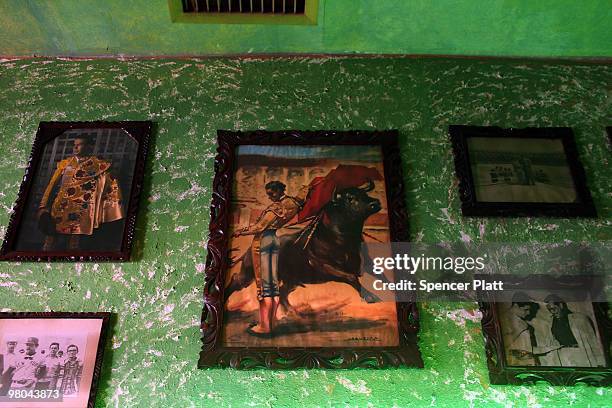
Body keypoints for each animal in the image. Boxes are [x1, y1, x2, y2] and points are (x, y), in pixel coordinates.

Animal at [225, 182, 388, 312]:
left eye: (364, 193)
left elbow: (382, 275)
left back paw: (291, 313)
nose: (375, 203)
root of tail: (248, 251)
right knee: (237, 279)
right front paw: (370, 296)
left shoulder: (367, 263)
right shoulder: (323, 266)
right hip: (250, 273)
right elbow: (351, 276)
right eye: (349, 198)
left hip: (291, 280)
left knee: (283, 292)